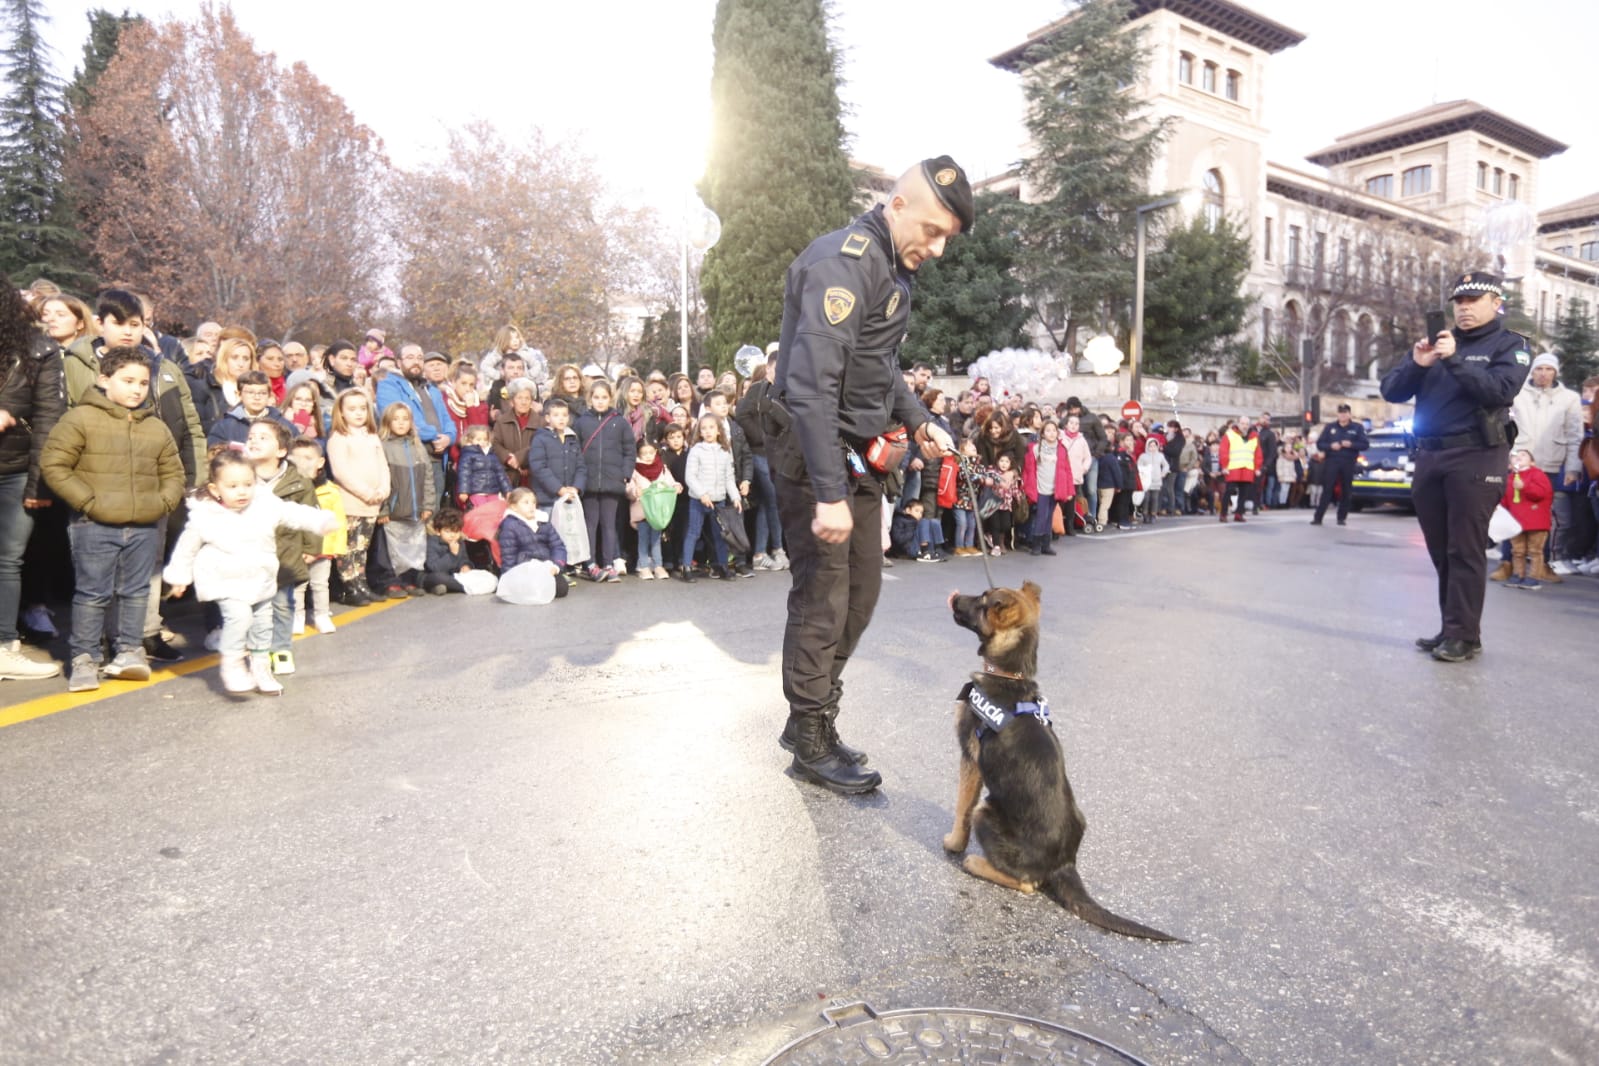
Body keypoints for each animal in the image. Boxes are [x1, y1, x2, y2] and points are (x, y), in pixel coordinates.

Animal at [940, 584, 1183, 939]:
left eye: (983, 600)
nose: (954, 596)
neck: (1011, 675)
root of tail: (1064, 863)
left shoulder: (970, 758)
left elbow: (962, 807)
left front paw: (955, 844)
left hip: (988, 812)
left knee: (1028, 884)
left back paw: (976, 863)